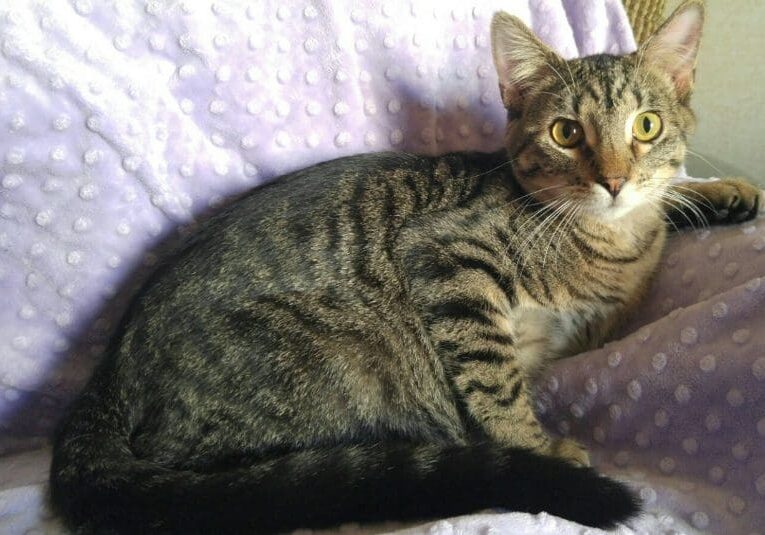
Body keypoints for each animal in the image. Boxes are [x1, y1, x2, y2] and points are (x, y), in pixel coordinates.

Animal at [49, 2, 760, 532]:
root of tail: (107, 373)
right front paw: (539, 448)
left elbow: (671, 199)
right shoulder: (447, 254)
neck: (610, 243)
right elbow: (496, 381)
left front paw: (723, 192)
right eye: (565, 133)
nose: (613, 180)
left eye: (646, 126)